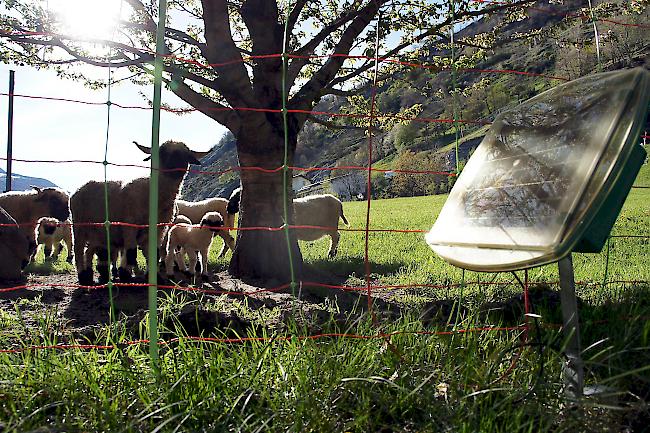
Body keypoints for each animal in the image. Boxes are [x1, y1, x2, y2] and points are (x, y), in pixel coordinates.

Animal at [68, 140, 206, 286]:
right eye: (162, 153)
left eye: (185, 156)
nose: (174, 168)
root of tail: (77, 190)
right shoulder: (130, 225)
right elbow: (131, 253)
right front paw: (125, 276)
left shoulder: (159, 229)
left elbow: (153, 253)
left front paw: (155, 277)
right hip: (79, 226)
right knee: (78, 251)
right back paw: (83, 277)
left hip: (97, 233)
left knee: (89, 251)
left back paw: (92, 275)